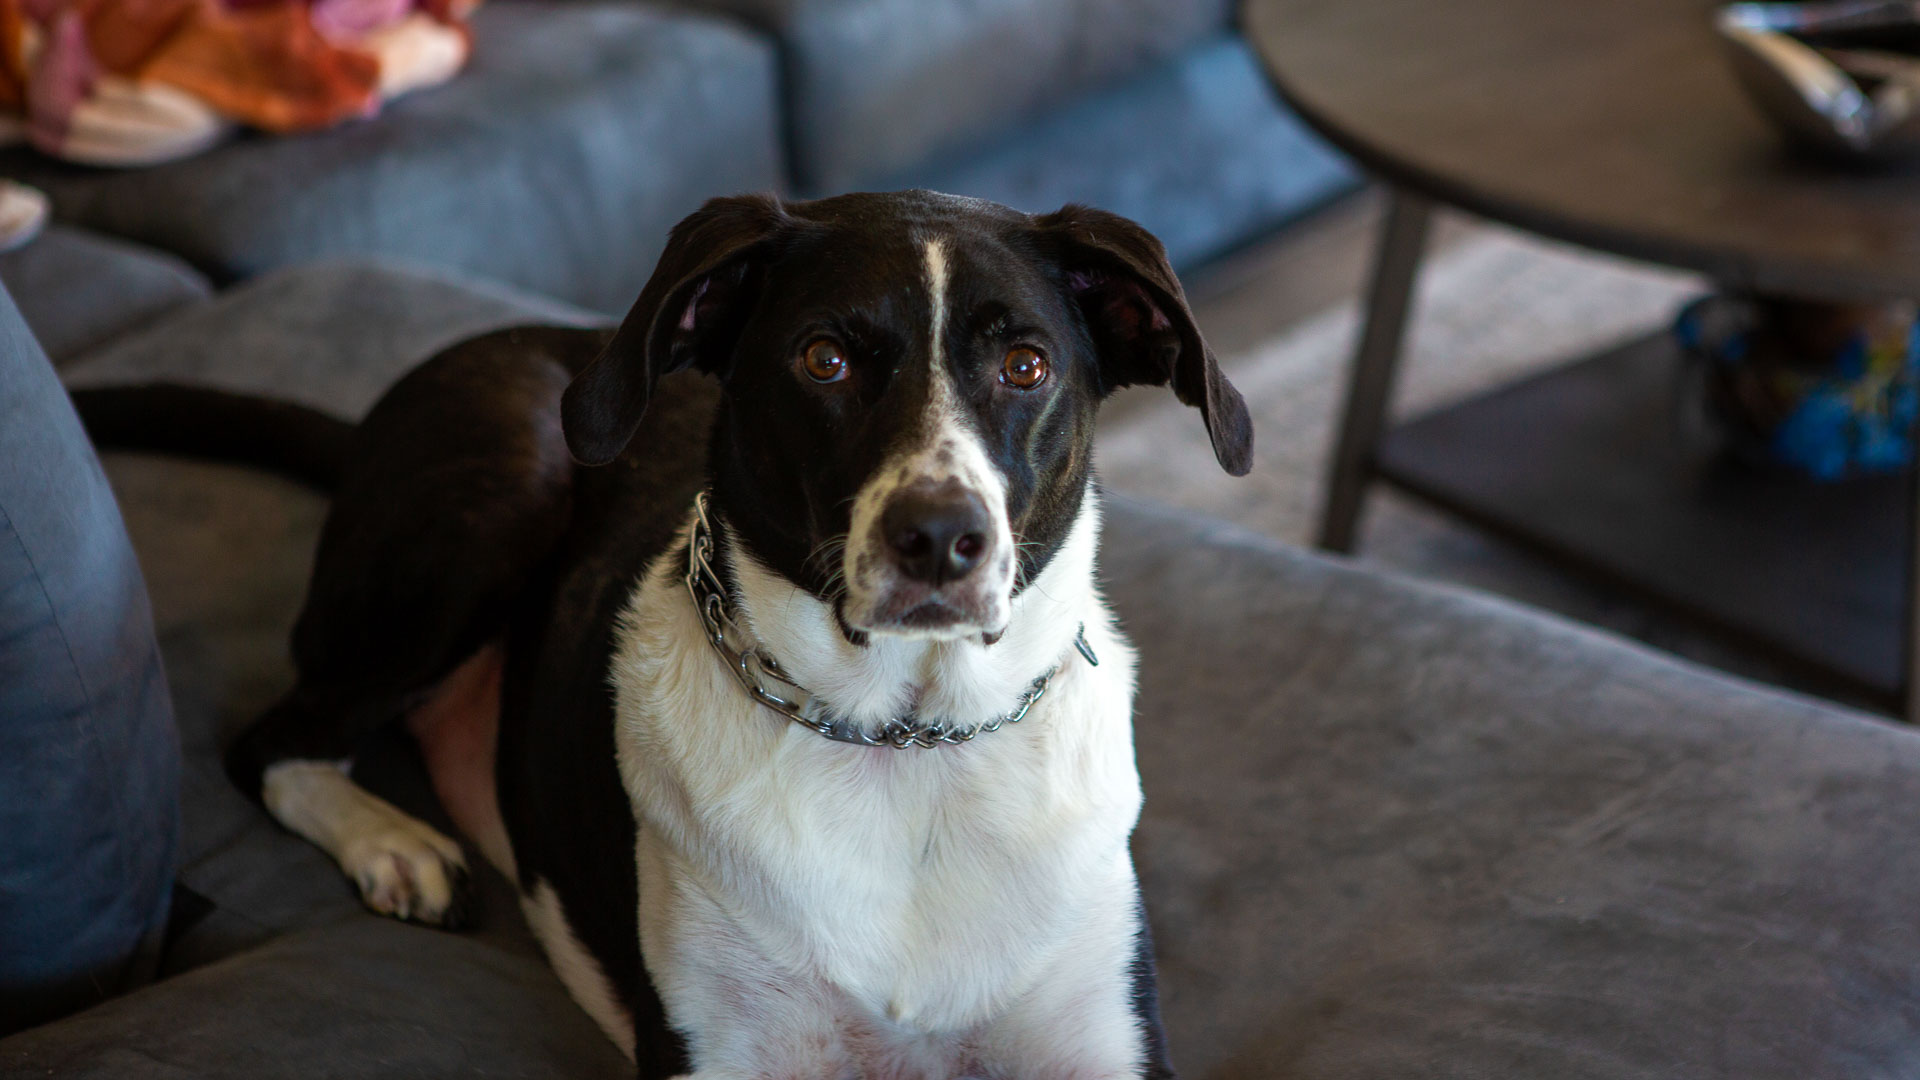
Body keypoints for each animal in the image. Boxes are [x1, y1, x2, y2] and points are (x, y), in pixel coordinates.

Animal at [224, 189, 1251, 1068]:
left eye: (1026, 366)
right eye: (824, 359)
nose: (938, 538)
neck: (908, 743)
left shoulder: (1099, 1036)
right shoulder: (722, 1046)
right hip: (497, 500)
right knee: (269, 740)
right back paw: (393, 844)